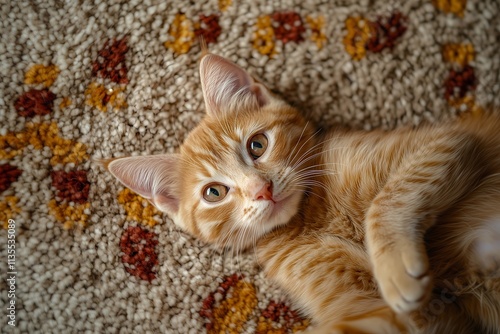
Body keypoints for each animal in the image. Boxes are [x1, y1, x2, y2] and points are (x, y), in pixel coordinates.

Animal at [102, 53, 500, 332]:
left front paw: (393, 263)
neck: (310, 216)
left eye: (257, 145)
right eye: (214, 192)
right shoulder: (397, 314)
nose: (261, 190)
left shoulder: (449, 141)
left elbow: (388, 199)